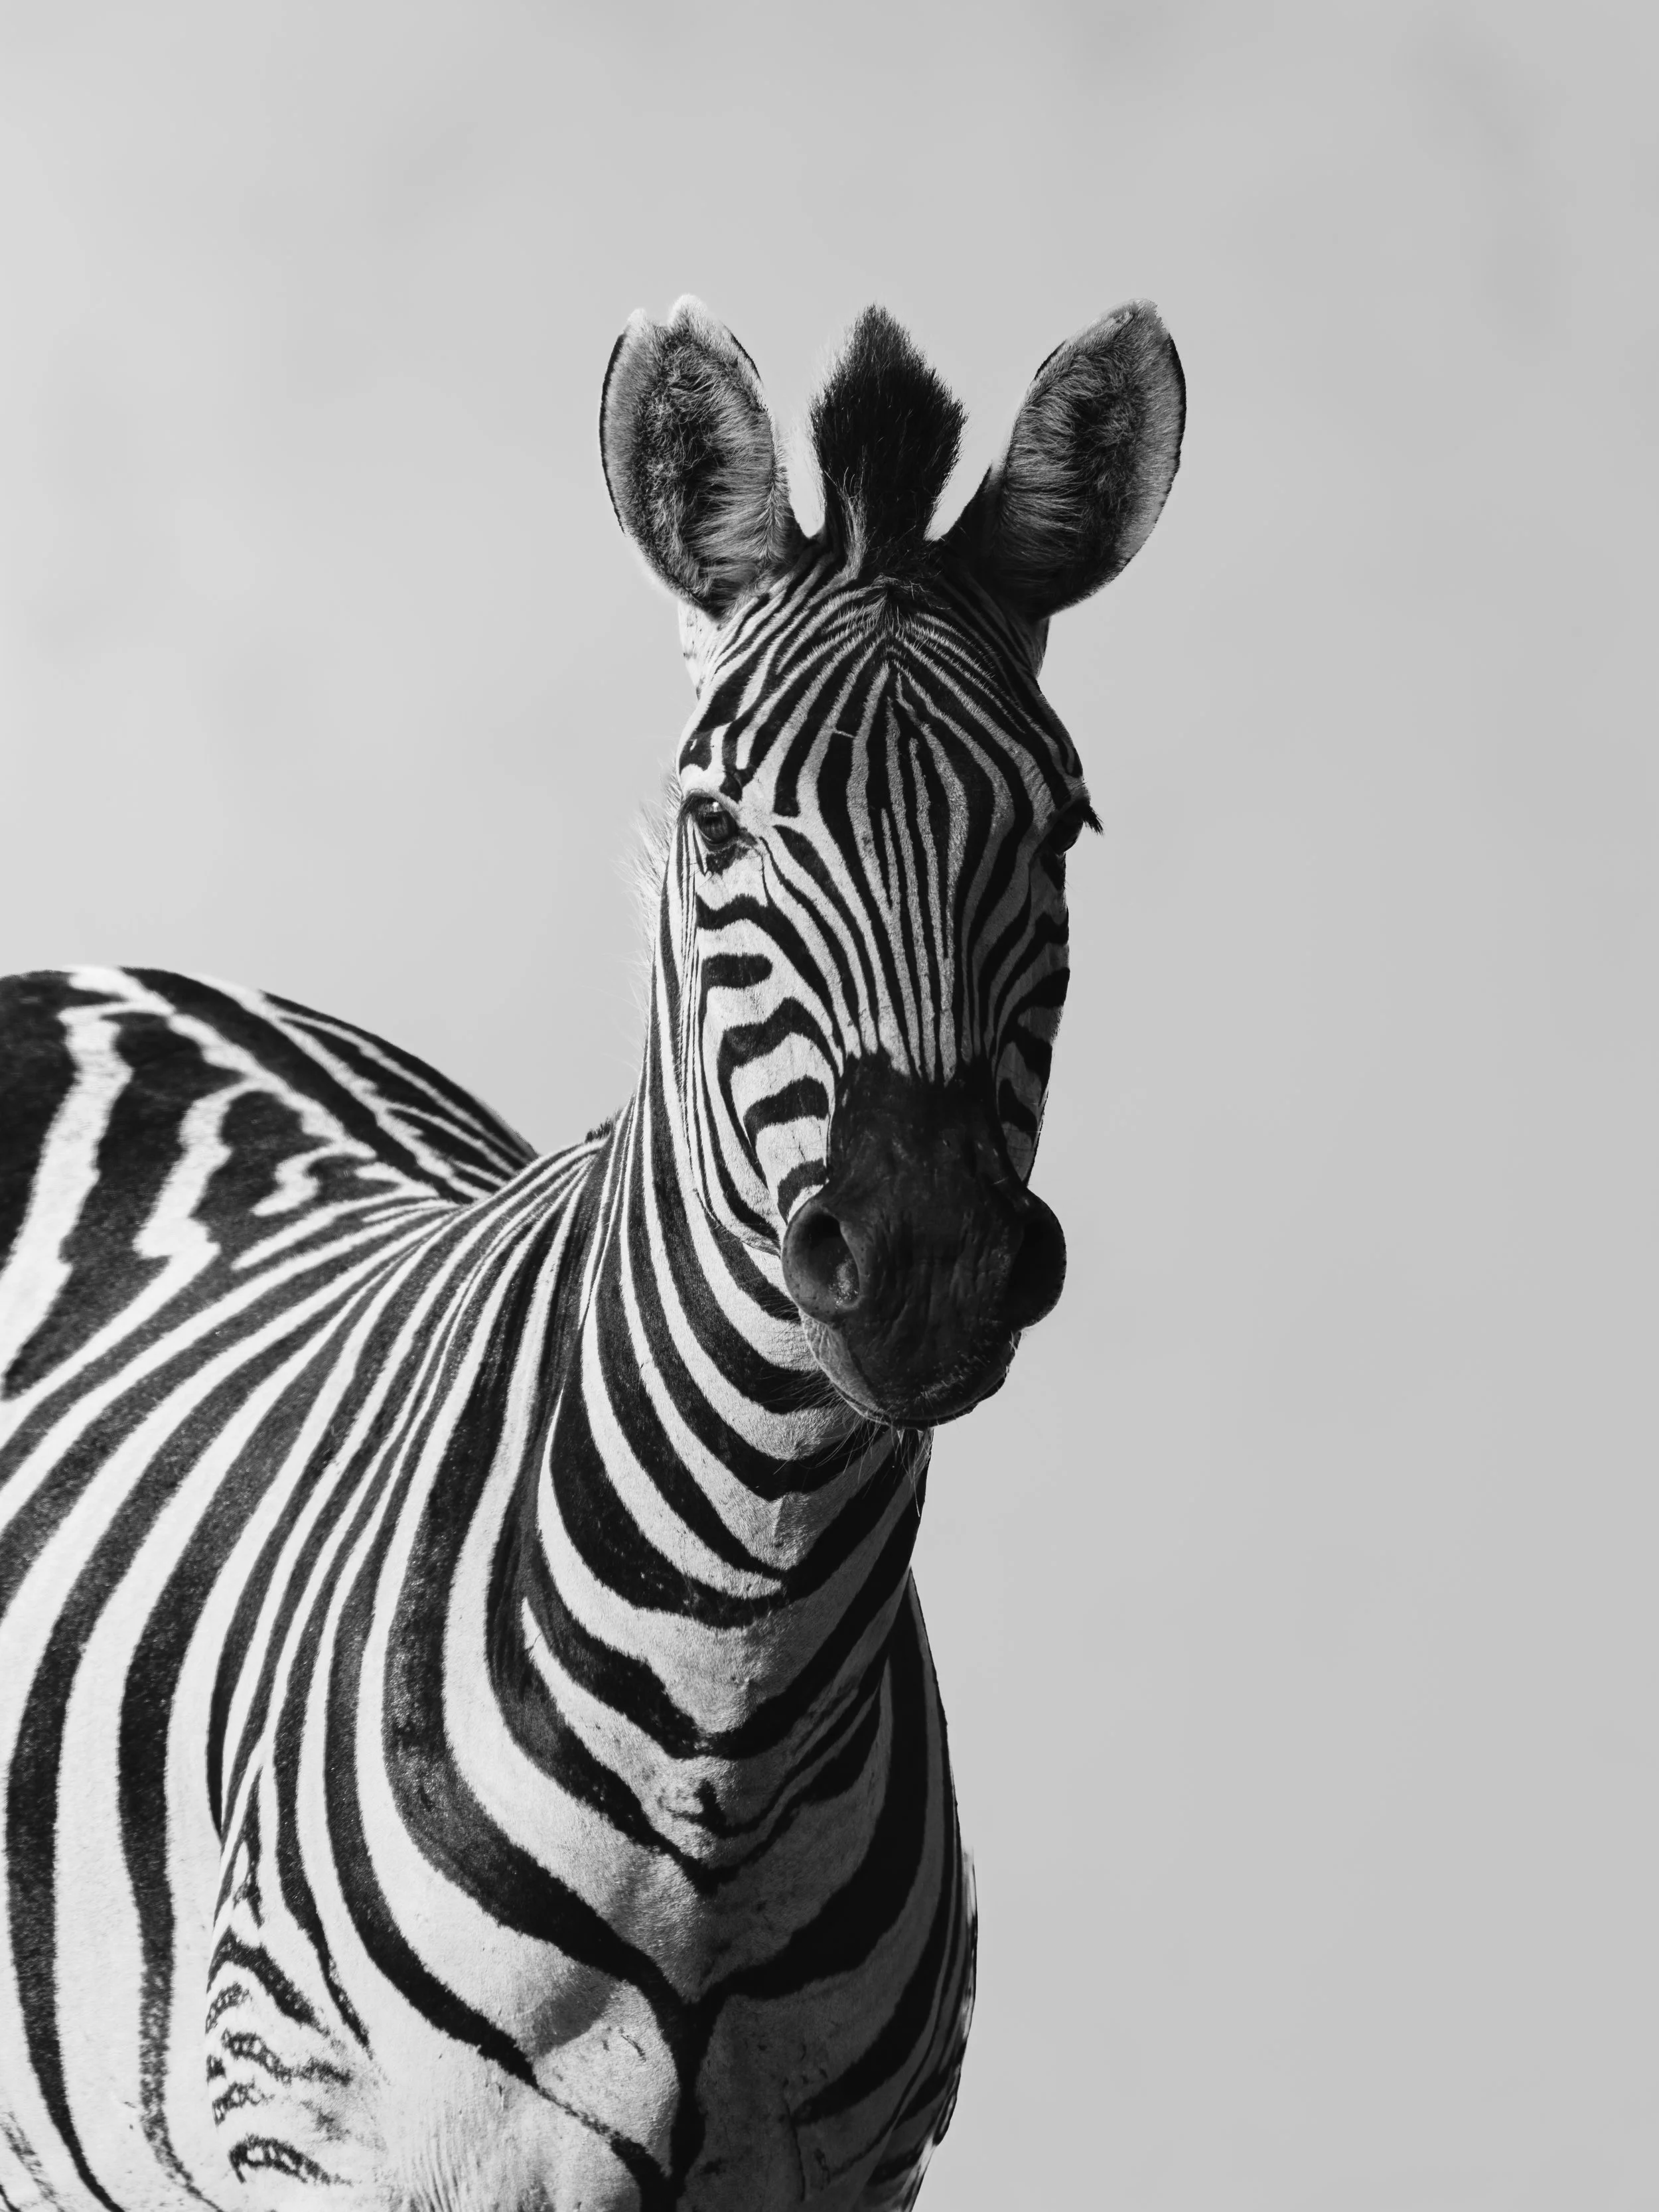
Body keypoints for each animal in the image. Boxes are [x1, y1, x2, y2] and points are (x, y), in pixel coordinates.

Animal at [0, 294, 1184, 2212]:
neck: (734, 1712)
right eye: (716, 826)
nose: (921, 1262)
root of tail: (119, 973)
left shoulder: (853, 2171)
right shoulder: (318, 2138)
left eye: (1059, 826)